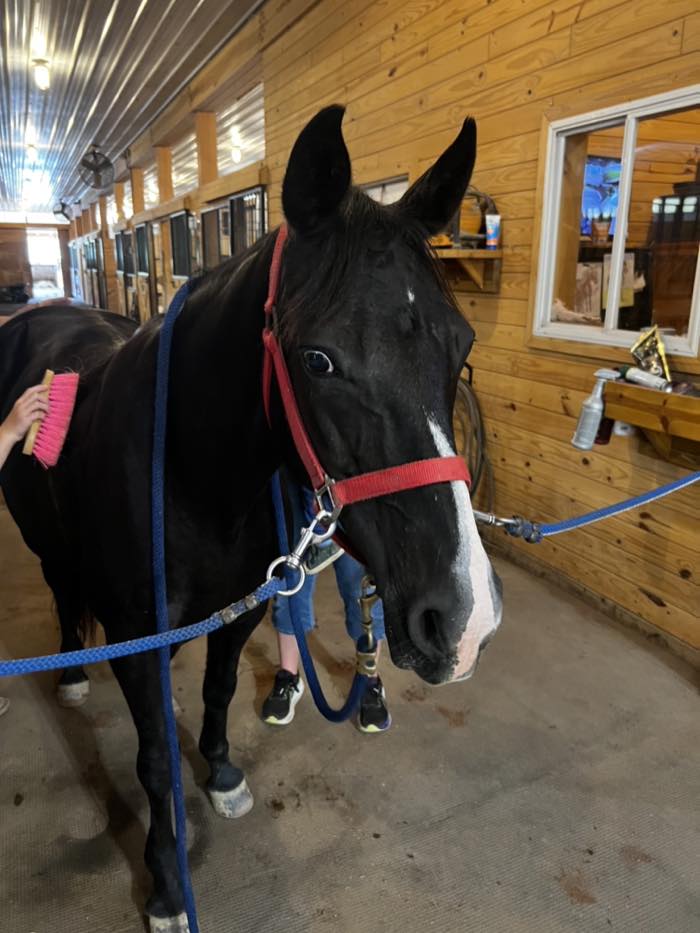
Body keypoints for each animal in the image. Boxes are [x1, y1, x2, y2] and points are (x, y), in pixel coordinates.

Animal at [0, 105, 503, 931]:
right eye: (318, 359)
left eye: (460, 343)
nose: (463, 618)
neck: (190, 473)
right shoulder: (140, 644)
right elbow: (153, 761)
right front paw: (167, 886)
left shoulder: (238, 612)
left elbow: (218, 689)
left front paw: (224, 773)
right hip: (44, 544)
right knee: (60, 585)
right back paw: (71, 669)